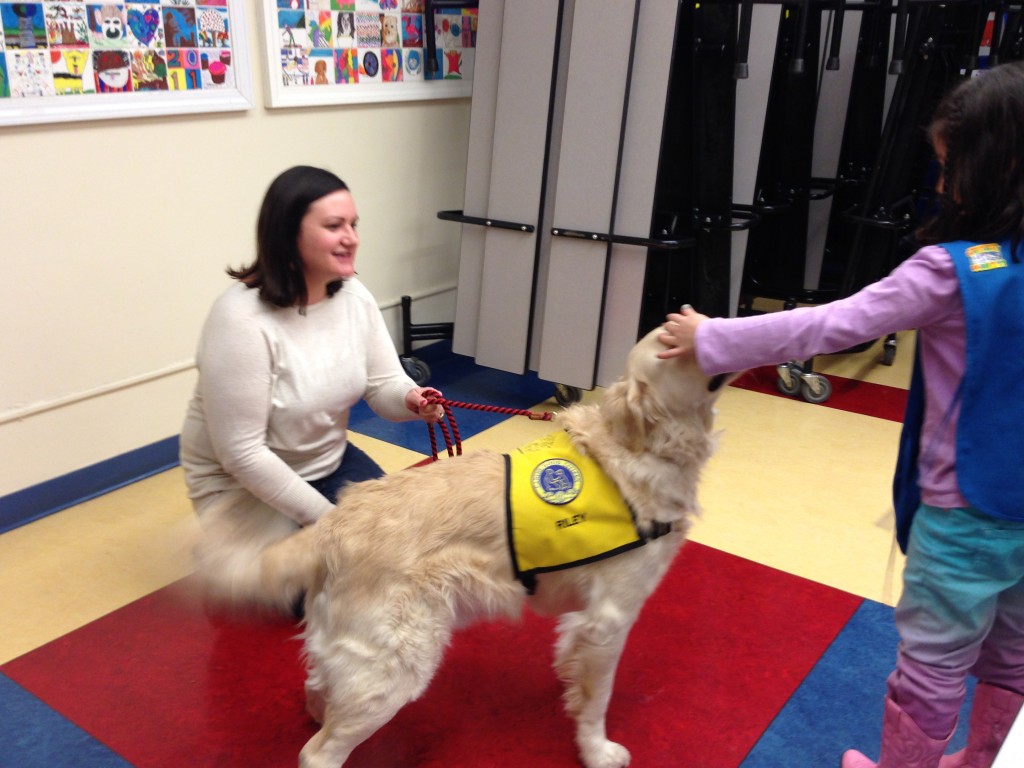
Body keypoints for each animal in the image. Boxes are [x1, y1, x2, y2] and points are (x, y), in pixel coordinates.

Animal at [195, 331, 733, 768]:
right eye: (672, 343)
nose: (710, 324)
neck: (640, 448)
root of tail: (333, 523)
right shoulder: (611, 618)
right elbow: (598, 698)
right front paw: (597, 751)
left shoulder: (585, 621)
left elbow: (574, 669)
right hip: (396, 666)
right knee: (317, 753)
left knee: (317, 685)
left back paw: (317, 708)